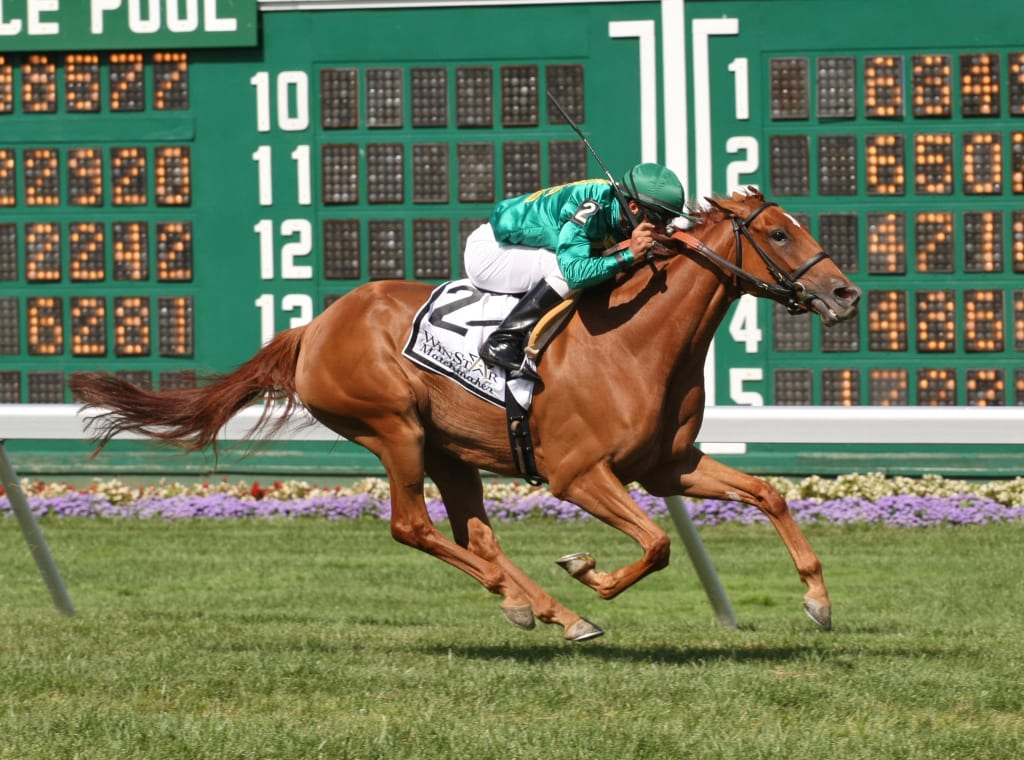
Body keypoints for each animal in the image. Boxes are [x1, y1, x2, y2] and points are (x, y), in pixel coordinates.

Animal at [68, 190, 860, 643]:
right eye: (779, 235)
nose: (845, 293)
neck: (636, 341)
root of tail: (314, 326)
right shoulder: (577, 474)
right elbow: (659, 544)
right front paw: (588, 570)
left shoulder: (669, 464)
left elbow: (768, 494)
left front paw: (819, 602)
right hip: (395, 429)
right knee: (412, 527)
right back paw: (548, 605)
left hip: (451, 450)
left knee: (473, 535)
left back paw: (543, 609)